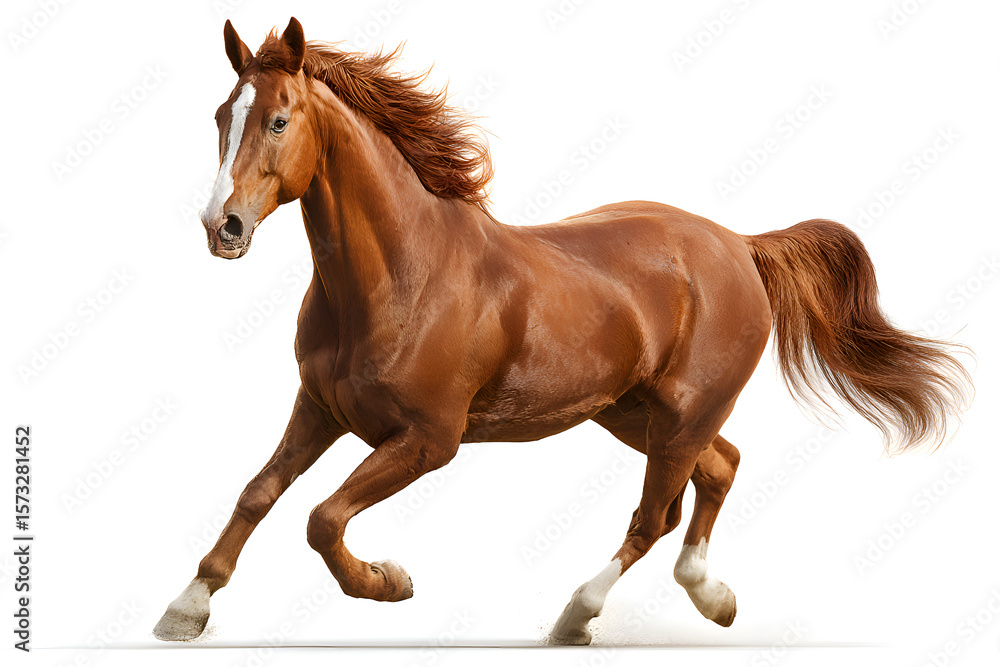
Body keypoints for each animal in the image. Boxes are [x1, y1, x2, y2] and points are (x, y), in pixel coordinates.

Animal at [153, 18, 972, 645]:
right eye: (221, 115)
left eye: (279, 119)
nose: (222, 227)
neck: (400, 277)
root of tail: (739, 244)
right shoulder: (320, 407)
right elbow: (258, 492)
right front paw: (185, 609)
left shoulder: (428, 439)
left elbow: (322, 518)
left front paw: (388, 581)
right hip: (634, 412)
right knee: (719, 469)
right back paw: (714, 598)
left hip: (681, 412)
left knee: (655, 514)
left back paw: (576, 615)